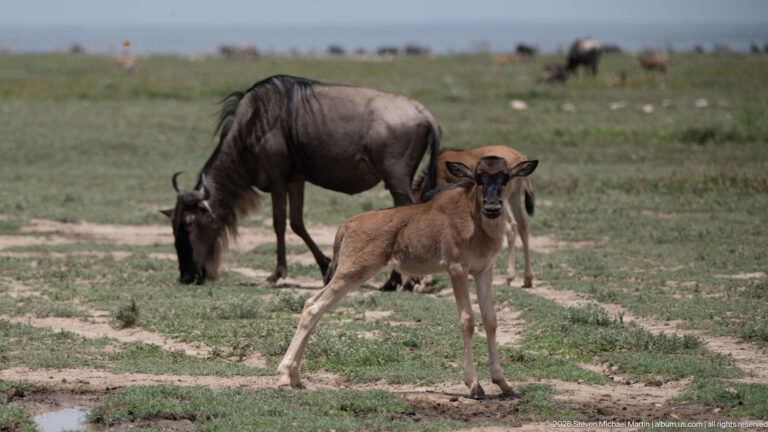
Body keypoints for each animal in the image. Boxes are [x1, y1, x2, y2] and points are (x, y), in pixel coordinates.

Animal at [413, 146, 536, 287]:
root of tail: (519, 156)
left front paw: (427, 279)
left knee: (511, 226)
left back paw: (509, 276)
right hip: (513, 196)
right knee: (522, 225)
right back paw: (527, 278)